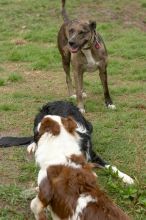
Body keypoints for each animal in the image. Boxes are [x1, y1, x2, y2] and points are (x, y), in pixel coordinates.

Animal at [0, 100, 133, 184]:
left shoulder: (91, 153)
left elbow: (111, 166)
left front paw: (126, 178)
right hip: (37, 121)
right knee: (34, 137)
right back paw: (33, 145)